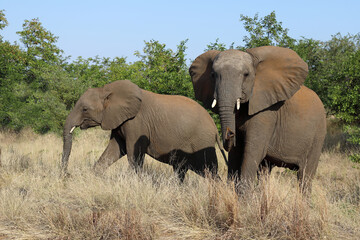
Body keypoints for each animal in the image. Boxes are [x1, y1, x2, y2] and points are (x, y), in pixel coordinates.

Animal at [60, 79, 226, 181]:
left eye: (85, 109)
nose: (67, 175)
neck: (107, 91)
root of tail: (214, 128)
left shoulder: (137, 122)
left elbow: (133, 154)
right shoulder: (120, 121)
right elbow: (115, 149)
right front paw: (93, 176)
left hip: (202, 143)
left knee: (209, 171)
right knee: (182, 170)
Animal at [190, 46, 328, 192]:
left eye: (246, 75)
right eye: (212, 75)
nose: (230, 132)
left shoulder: (267, 112)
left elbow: (252, 151)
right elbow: (236, 153)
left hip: (318, 135)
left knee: (304, 175)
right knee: (265, 170)